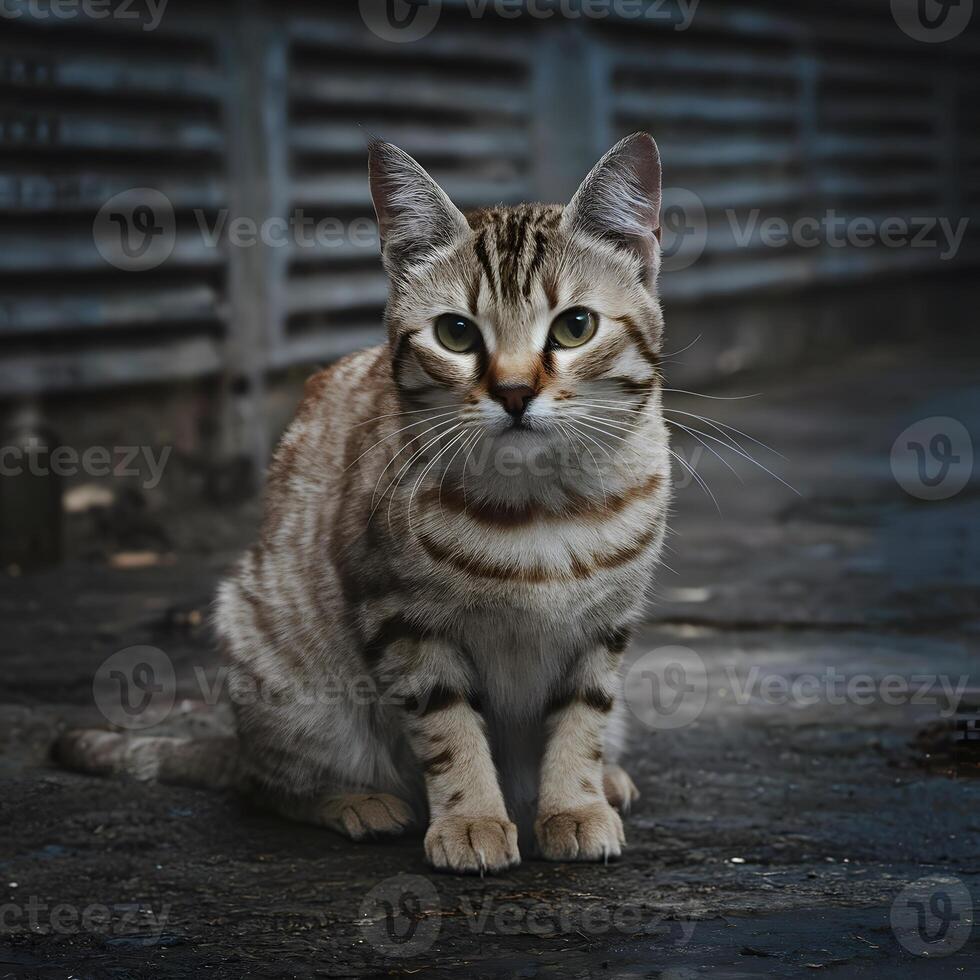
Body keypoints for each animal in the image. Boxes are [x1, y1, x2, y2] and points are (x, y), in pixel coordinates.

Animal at [59, 130, 672, 872]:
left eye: (575, 326)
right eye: (456, 334)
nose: (515, 392)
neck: (540, 507)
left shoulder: (605, 628)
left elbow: (583, 719)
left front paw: (574, 804)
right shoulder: (402, 618)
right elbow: (449, 731)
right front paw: (471, 819)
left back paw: (605, 780)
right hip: (285, 677)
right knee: (265, 786)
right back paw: (354, 801)